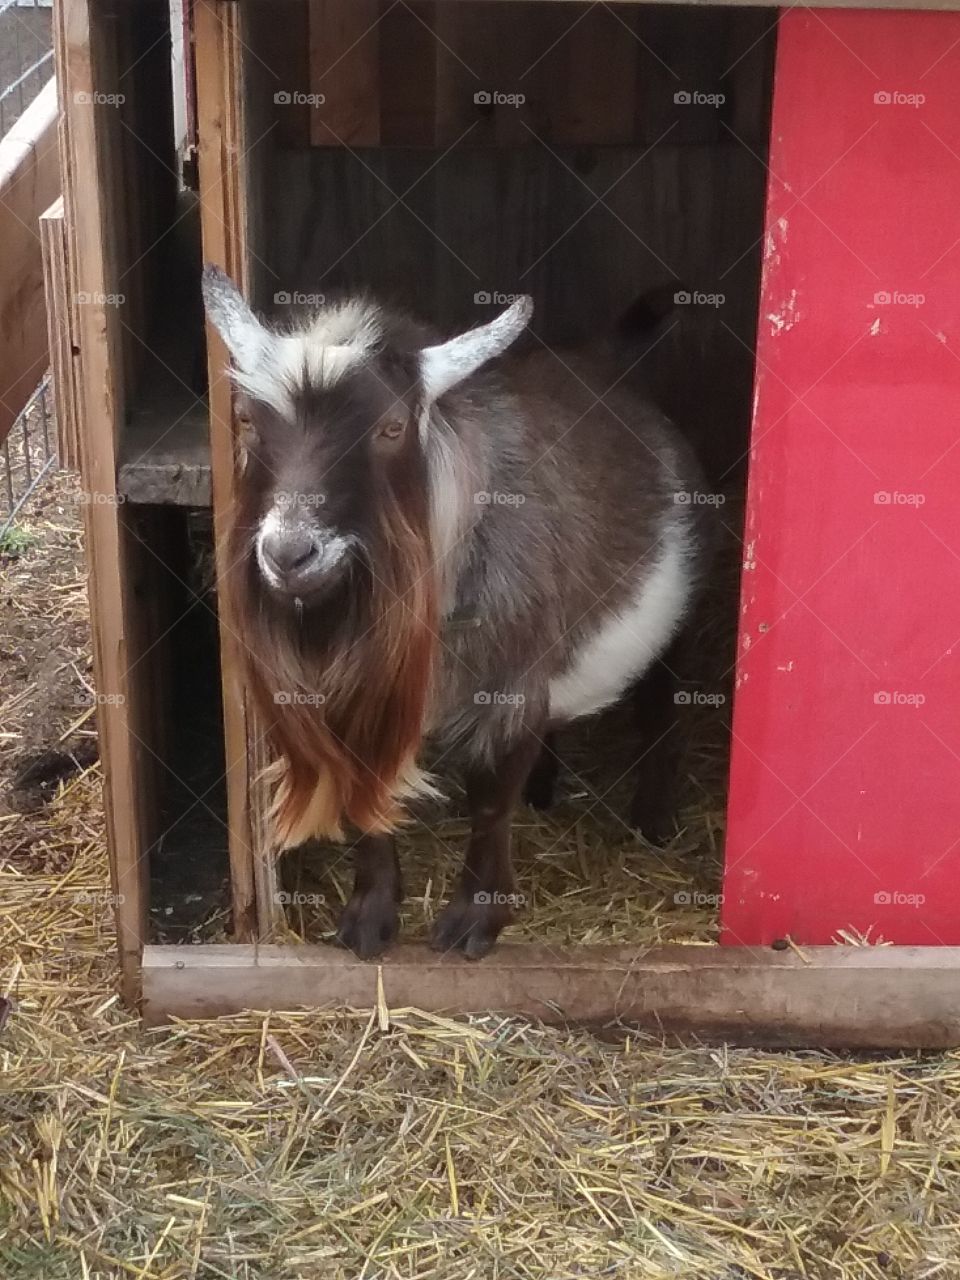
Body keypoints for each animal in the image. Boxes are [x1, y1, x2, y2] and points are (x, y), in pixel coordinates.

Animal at [202, 266, 713, 959]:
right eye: (249, 420)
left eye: (391, 427)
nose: (288, 553)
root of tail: (607, 365)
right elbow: (368, 801)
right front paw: (369, 919)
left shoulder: (510, 690)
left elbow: (490, 804)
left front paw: (474, 922)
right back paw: (546, 789)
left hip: (679, 616)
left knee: (665, 703)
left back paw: (654, 818)